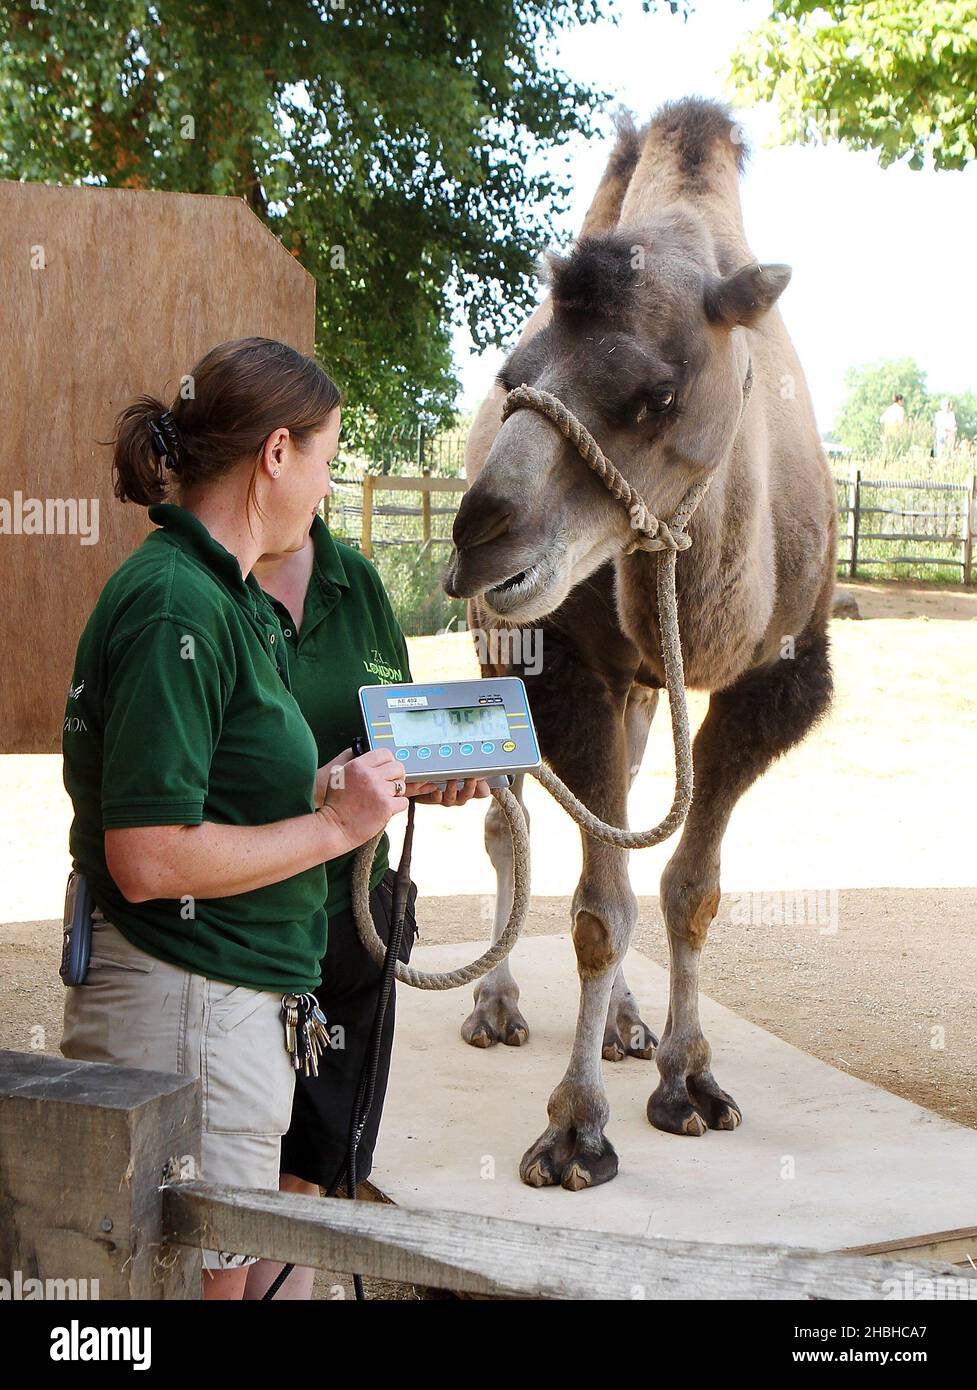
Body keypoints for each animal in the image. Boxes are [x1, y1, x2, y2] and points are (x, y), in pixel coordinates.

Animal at [447, 97, 839, 1189]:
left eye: (656, 395)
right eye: (511, 377)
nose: (478, 534)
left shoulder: (774, 682)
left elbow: (686, 889)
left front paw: (688, 1079)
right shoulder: (565, 664)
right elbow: (597, 909)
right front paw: (575, 1130)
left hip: (631, 687)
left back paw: (625, 1028)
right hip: (506, 655)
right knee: (512, 826)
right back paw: (493, 1005)